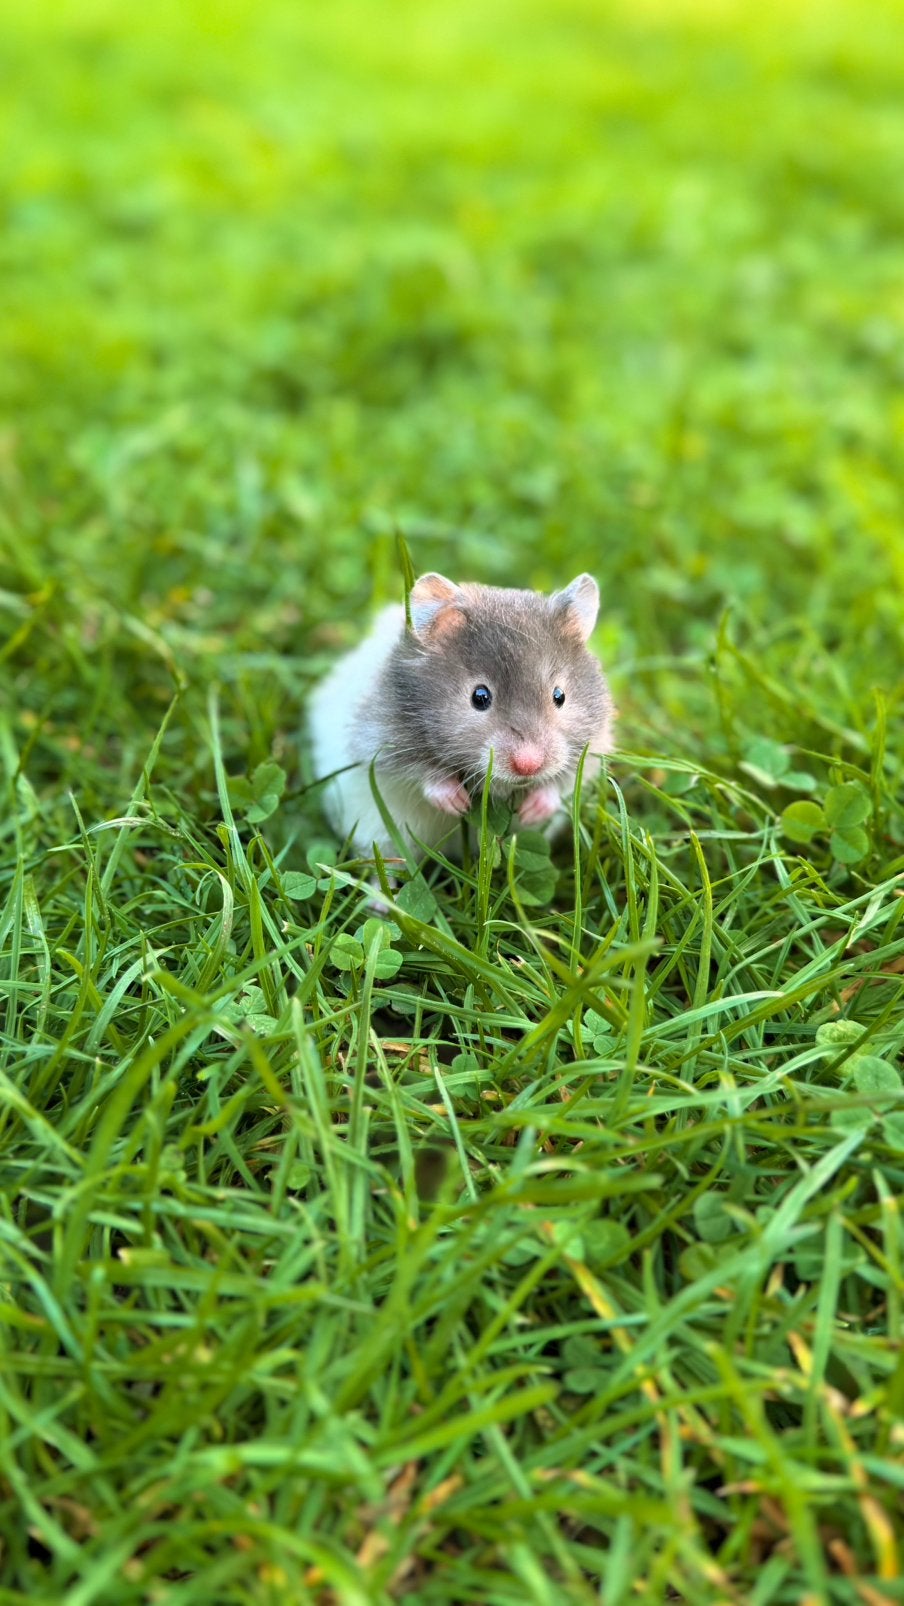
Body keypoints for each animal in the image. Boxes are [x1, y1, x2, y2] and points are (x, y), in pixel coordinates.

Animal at [308, 571, 615, 861]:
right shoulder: (381, 740)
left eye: (559, 696)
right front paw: (458, 803)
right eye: (480, 697)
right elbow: (420, 772)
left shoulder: (592, 749)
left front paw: (532, 811)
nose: (529, 765)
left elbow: (564, 781)